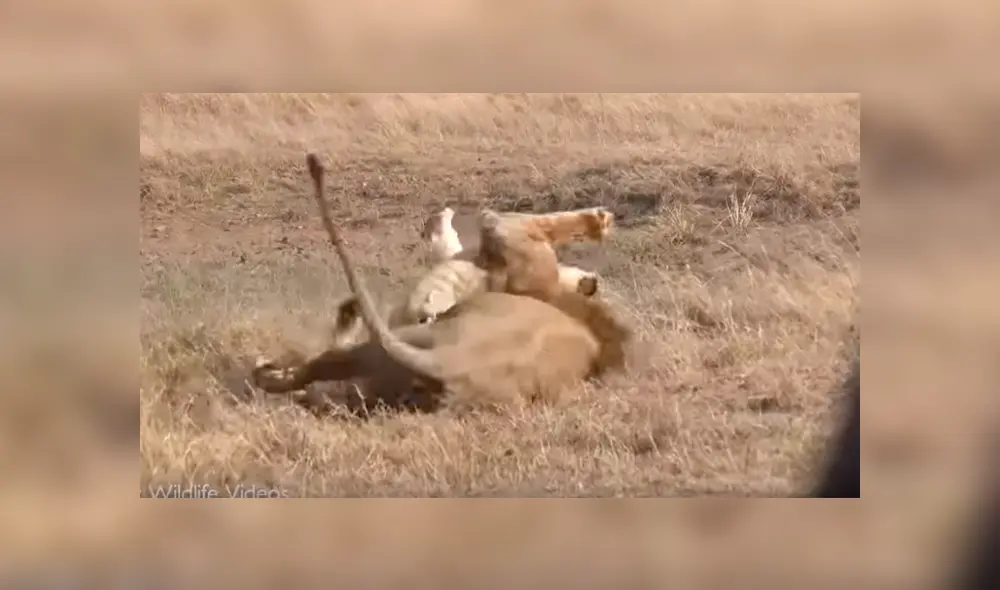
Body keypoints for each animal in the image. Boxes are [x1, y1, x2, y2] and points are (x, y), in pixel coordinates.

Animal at [252, 153, 631, 413]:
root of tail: (454, 365)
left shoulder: (506, 231)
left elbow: (519, 220)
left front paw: (597, 221)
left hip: (399, 342)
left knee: (316, 366)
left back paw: (274, 369)